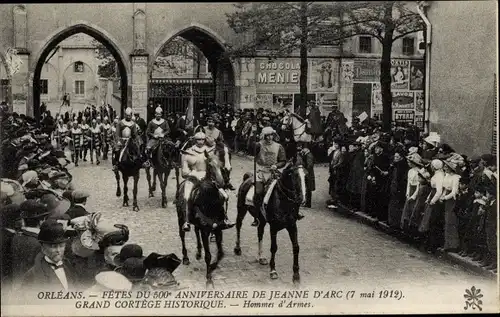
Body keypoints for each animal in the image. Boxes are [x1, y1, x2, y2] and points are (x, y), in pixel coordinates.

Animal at [173, 150, 226, 286]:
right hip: (180, 219)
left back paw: (198, 251)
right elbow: (208, 255)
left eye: (221, 165)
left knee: (196, 232)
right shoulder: (205, 230)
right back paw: (185, 258)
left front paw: (212, 267)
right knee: (182, 236)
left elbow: (220, 253)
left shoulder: (218, 229)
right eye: (210, 165)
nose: (221, 183)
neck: (210, 202)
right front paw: (209, 279)